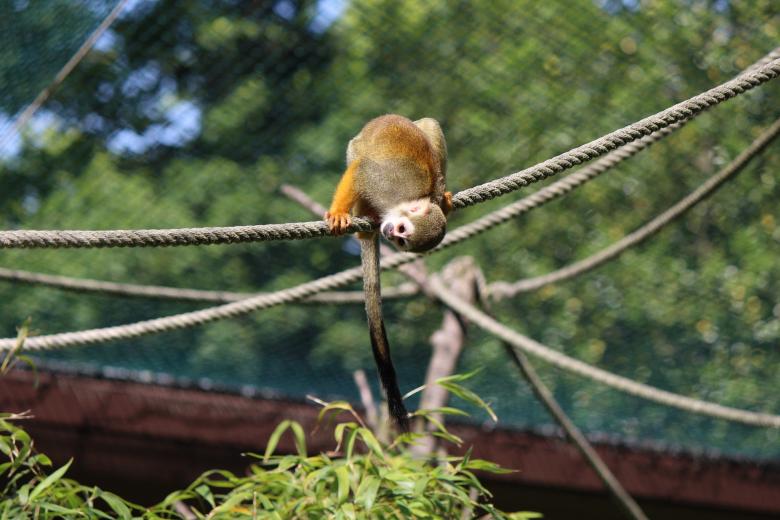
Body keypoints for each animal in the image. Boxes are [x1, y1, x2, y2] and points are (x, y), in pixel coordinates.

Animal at [325, 114, 452, 431]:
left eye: (403, 239)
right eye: (401, 231)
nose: (390, 233)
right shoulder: (385, 184)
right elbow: (361, 171)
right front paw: (340, 212)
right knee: (358, 154)